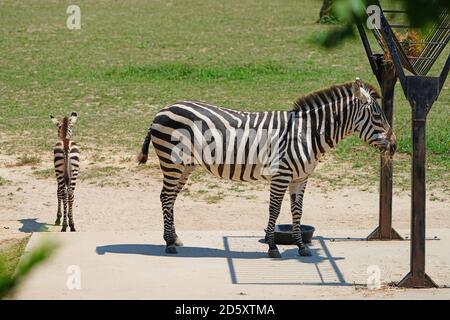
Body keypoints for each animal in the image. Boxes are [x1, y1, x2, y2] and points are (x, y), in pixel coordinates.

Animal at [139, 79, 396, 258]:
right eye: (377, 116)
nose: (394, 145)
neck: (306, 133)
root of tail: (162, 110)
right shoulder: (281, 175)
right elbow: (274, 209)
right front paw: (273, 246)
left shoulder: (301, 178)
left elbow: (297, 212)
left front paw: (301, 247)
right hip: (172, 163)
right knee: (165, 197)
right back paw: (169, 243)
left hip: (185, 166)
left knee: (170, 198)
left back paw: (174, 238)